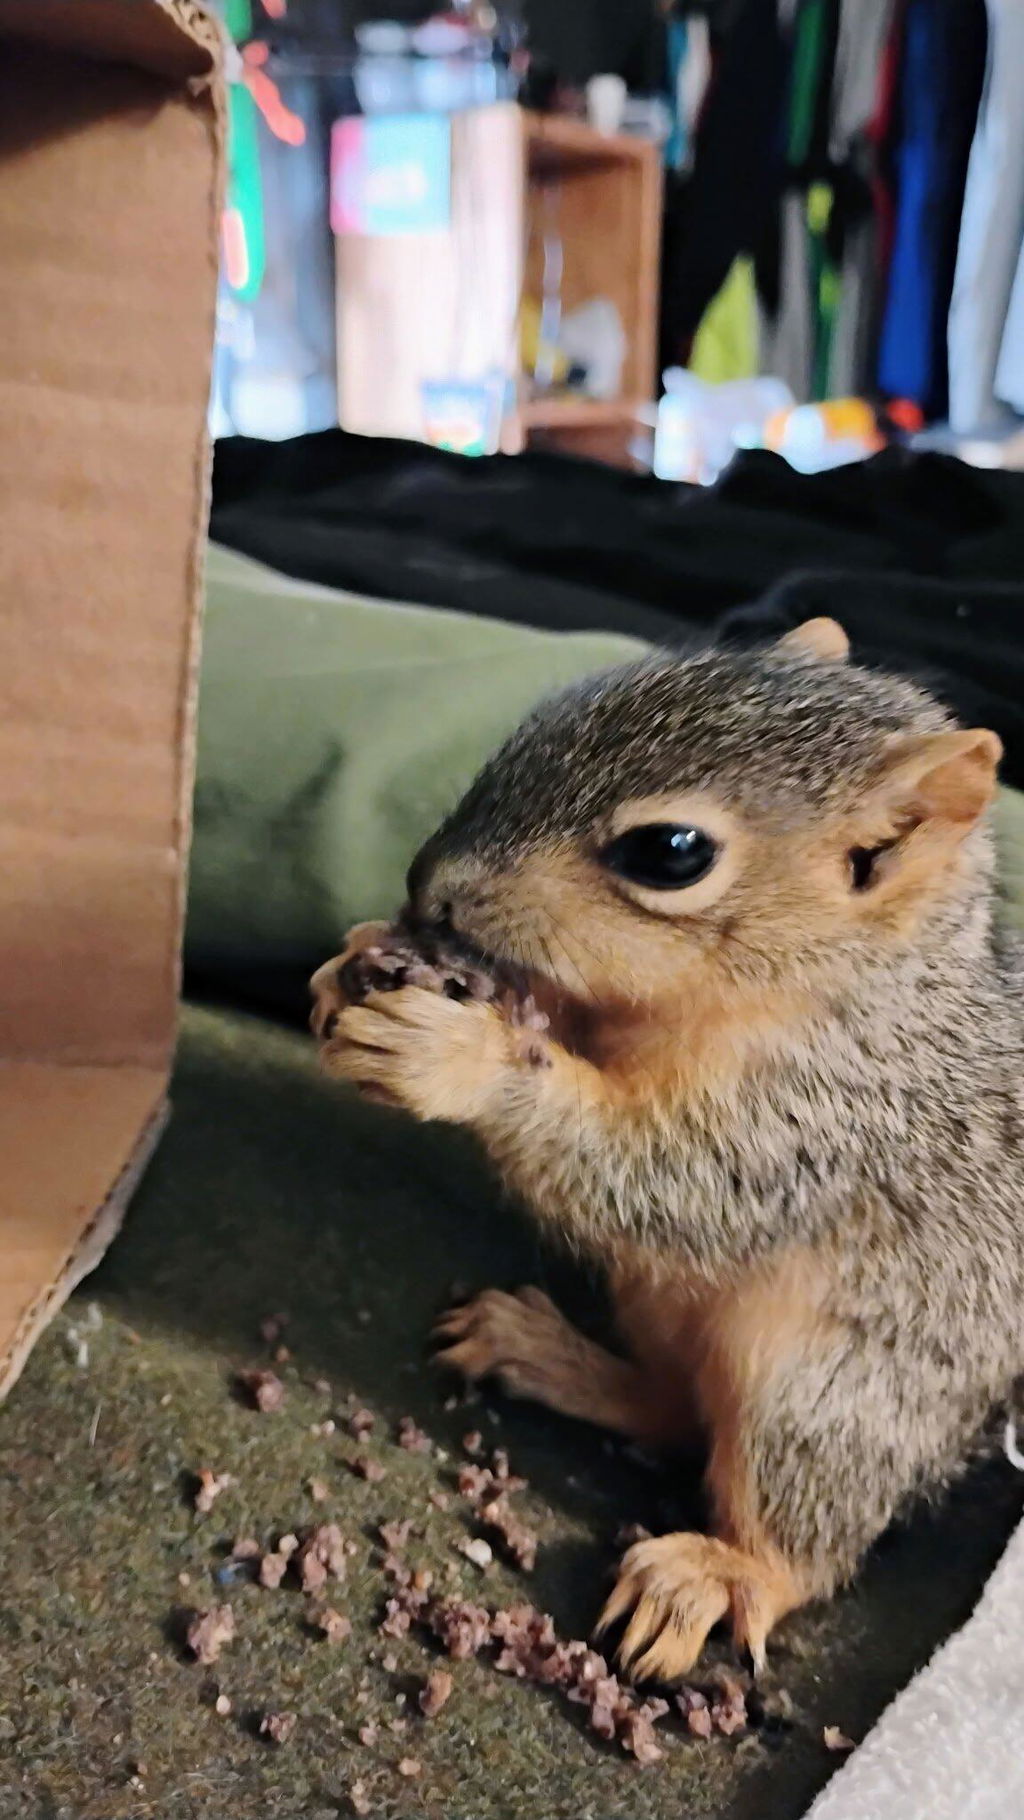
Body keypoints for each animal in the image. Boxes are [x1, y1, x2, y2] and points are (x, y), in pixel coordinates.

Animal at [311, 618, 1022, 1683]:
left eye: (671, 852)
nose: (425, 891)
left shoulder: (833, 1115)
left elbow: (676, 1180)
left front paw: (458, 1057)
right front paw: (350, 961)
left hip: (828, 1399)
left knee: (792, 1530)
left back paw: (713, 1575)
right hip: (653, 1298)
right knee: (676, 1409)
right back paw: (547, 1352)